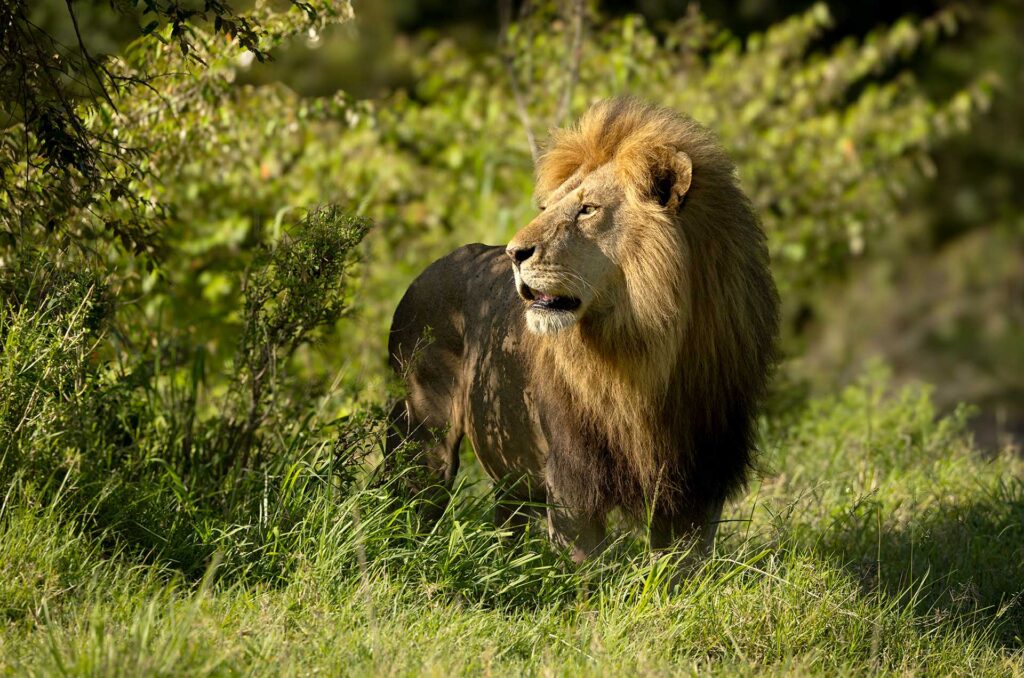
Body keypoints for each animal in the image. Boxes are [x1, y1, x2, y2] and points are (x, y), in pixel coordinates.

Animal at [386, 98, 779, 562]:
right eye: (545, 210)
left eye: (587, 209)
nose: (514, 253)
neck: (643, 350)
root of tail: (422, 274)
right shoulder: (572, 479)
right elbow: (585, 566)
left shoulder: (700, 475)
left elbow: (682, 565)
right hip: (424, 432)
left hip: (510, 474)